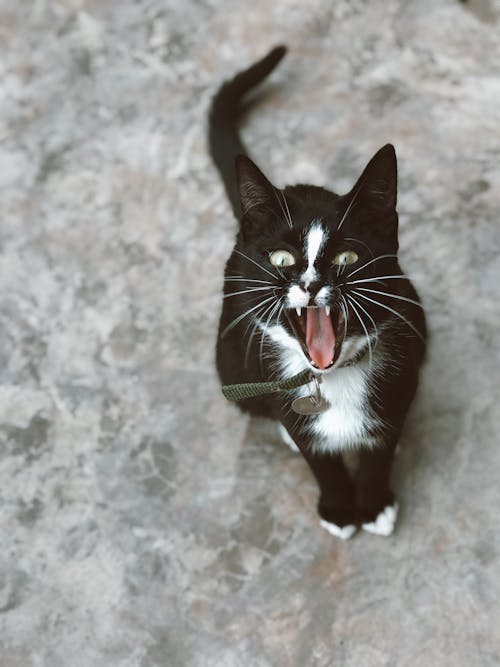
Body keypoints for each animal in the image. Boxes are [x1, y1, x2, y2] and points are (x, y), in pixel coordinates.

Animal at [208, 45, 426, 536]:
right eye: (281, 259)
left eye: (346, 257)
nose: (309, 284)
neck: (332, 379)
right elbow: (315, 452)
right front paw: (340, 508)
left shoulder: (400, 370)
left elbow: (382, 445)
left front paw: (374, 503)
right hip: (229, 356)